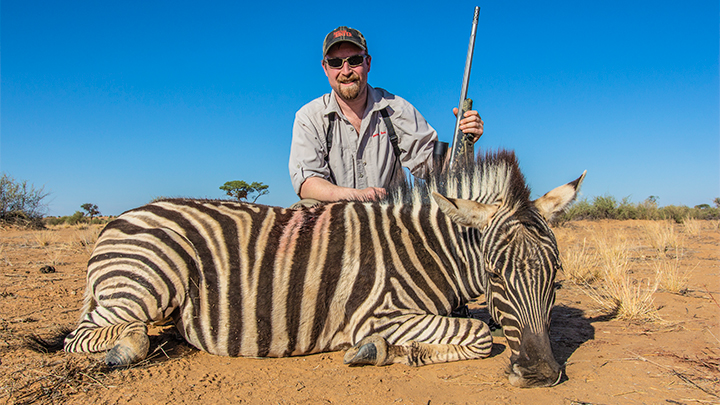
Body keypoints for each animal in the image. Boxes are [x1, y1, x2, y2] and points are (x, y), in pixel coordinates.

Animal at [56, 150, 584, 386]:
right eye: (494, 276)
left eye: (557, 278)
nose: (540, 374)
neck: (428, 249)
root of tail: (119, 219)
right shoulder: (379, 313)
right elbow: (478, 336)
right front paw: (382, 351)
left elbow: (479, 328)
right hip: (145, 282)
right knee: (94, 337)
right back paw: (122, 350)